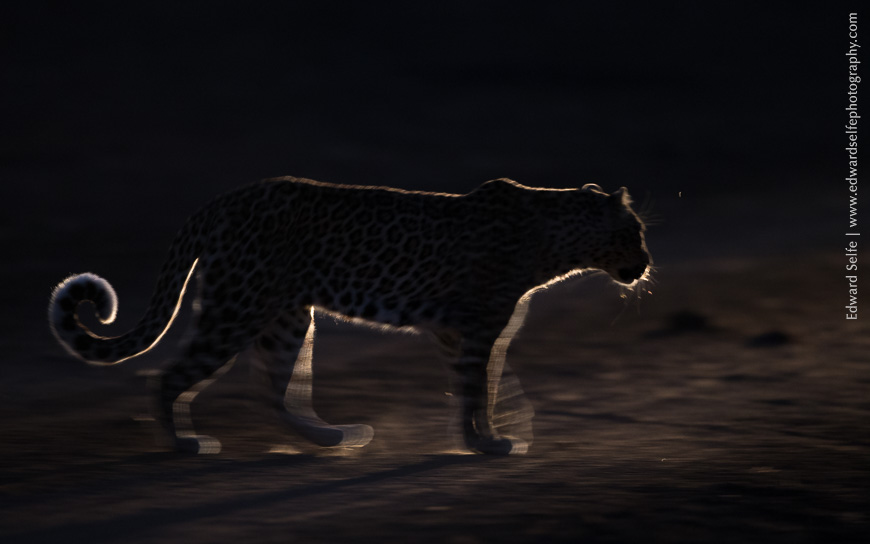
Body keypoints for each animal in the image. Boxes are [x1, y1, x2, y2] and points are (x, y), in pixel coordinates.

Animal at [48, 176, 651, 455]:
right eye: (635, 233)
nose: (646, 264)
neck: (555, 242)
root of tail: (221, 200)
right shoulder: (476, 329)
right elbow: (478, 389)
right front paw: (487, 443)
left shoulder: (459, 334)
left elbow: (474, 388)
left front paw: (479, 436)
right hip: (237, 308)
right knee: (170, 377)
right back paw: (183, 444)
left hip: (288, 317)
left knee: (269, 389)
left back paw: (332, 437)